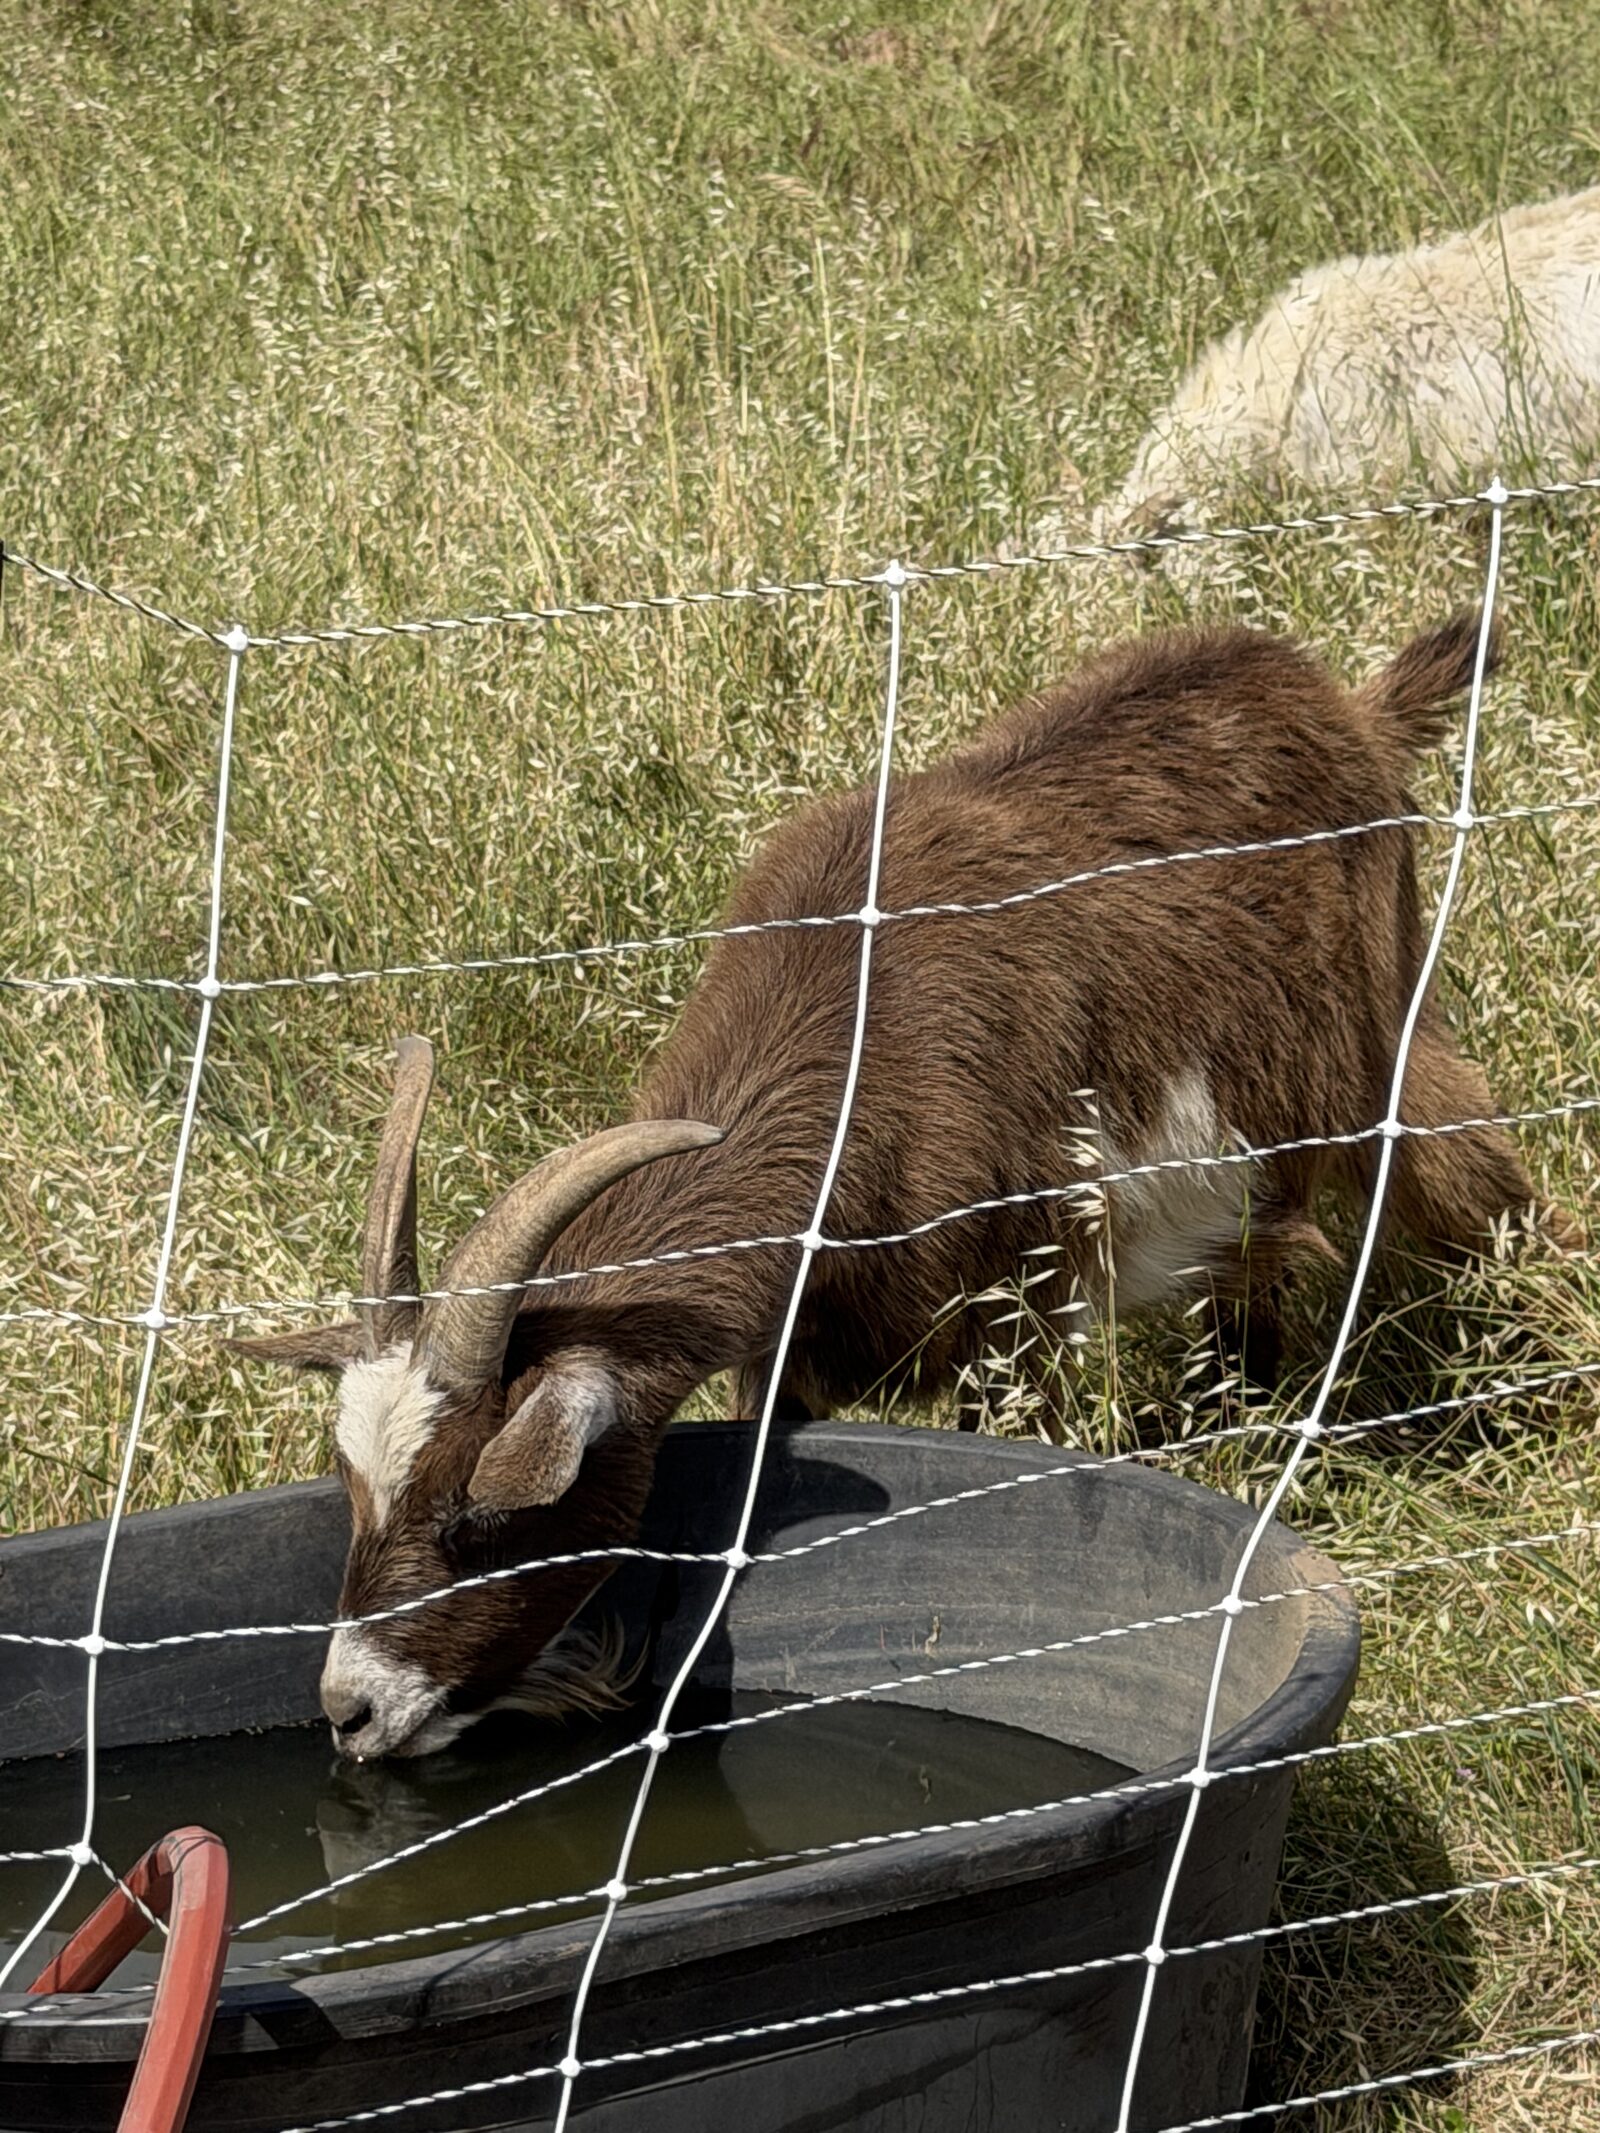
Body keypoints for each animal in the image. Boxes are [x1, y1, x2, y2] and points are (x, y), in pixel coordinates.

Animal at [232, 610, 1579, 1760]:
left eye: (477, 1524)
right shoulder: (804, 1341)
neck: (849, 1054)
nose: (350, 1712)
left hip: (1382, 1048)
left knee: (1486, 1190)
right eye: (355, 1497)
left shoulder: (1019, 1300)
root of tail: (1341, 703)